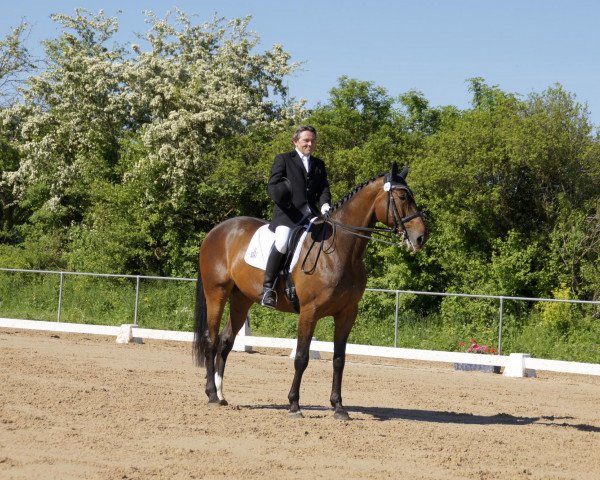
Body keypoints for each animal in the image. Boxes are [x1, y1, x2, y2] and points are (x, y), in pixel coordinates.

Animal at [193, 162, 426, 420]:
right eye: (403, 197)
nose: (421, 237)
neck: (340, 250)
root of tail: (215, 231)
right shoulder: (309, 311)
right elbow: (302, 357)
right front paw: (294, 405)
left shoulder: (347, 314)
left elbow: (339, 359)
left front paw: (339, 407)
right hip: (216, 293)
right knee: (211, 339)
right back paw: (212, 395)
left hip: (241, 300)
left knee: (226, 341)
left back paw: (221, 395)